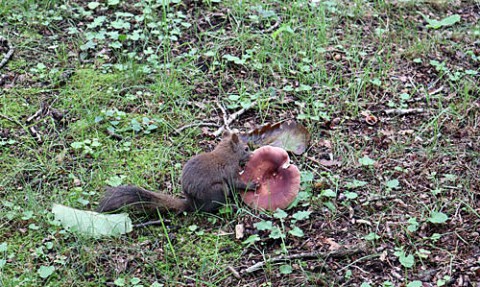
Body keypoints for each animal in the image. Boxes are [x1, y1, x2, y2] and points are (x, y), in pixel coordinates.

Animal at [95, 132, 256, 215]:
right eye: (246, 149)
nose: (252, 155)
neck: (227, 154)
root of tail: (193, 205)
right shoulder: (229, 170)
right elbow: (236, 182)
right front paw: (252, 185)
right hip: (218, 189)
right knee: (213, 206)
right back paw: (230, 206)